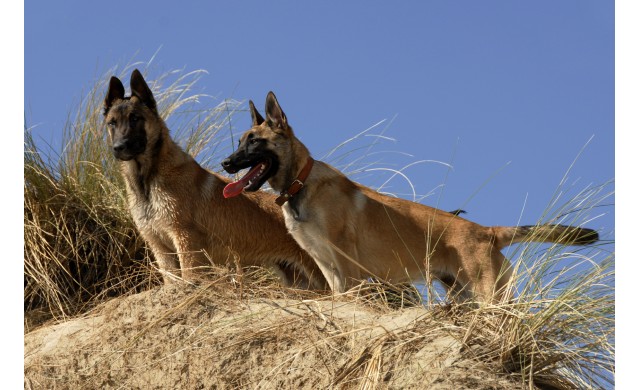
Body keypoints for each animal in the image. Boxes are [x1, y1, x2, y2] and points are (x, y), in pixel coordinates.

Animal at [104, 71, 328, 290]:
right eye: (112, 123)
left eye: (135, 118)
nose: (119, 147)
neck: (146, 180)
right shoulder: (159, 247)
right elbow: (172, 279)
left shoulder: (184, 238)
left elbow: (188, 276)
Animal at [221, 90, 600, 302]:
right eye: (239, 142)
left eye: (254, 142)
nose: (225, 163)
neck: (301, 184)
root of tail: (487, 231)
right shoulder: (329, 268)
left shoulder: (348, 265)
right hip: (466, 297)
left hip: (489, 295)